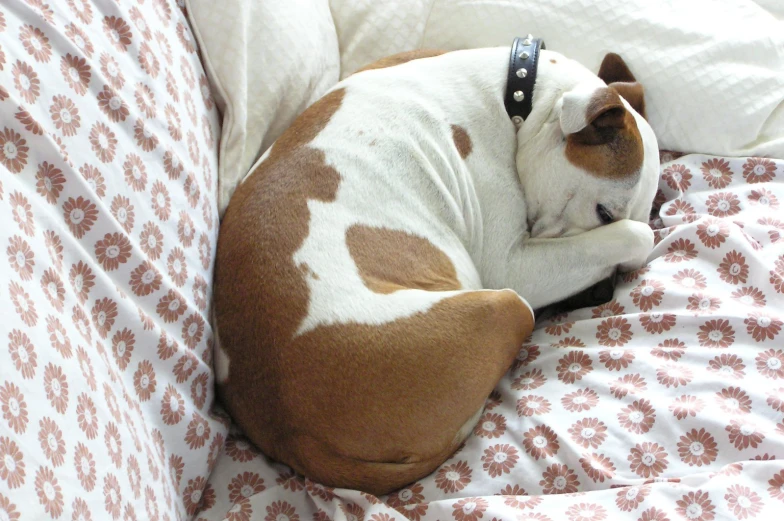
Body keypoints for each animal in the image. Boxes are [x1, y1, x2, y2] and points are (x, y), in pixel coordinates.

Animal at [211, 38, 660, 494]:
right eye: (605, 212)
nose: (604, 291)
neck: (521, 93)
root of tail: (294, 438)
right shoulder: (513, 265)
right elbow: (639, 235)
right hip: (506, 304)